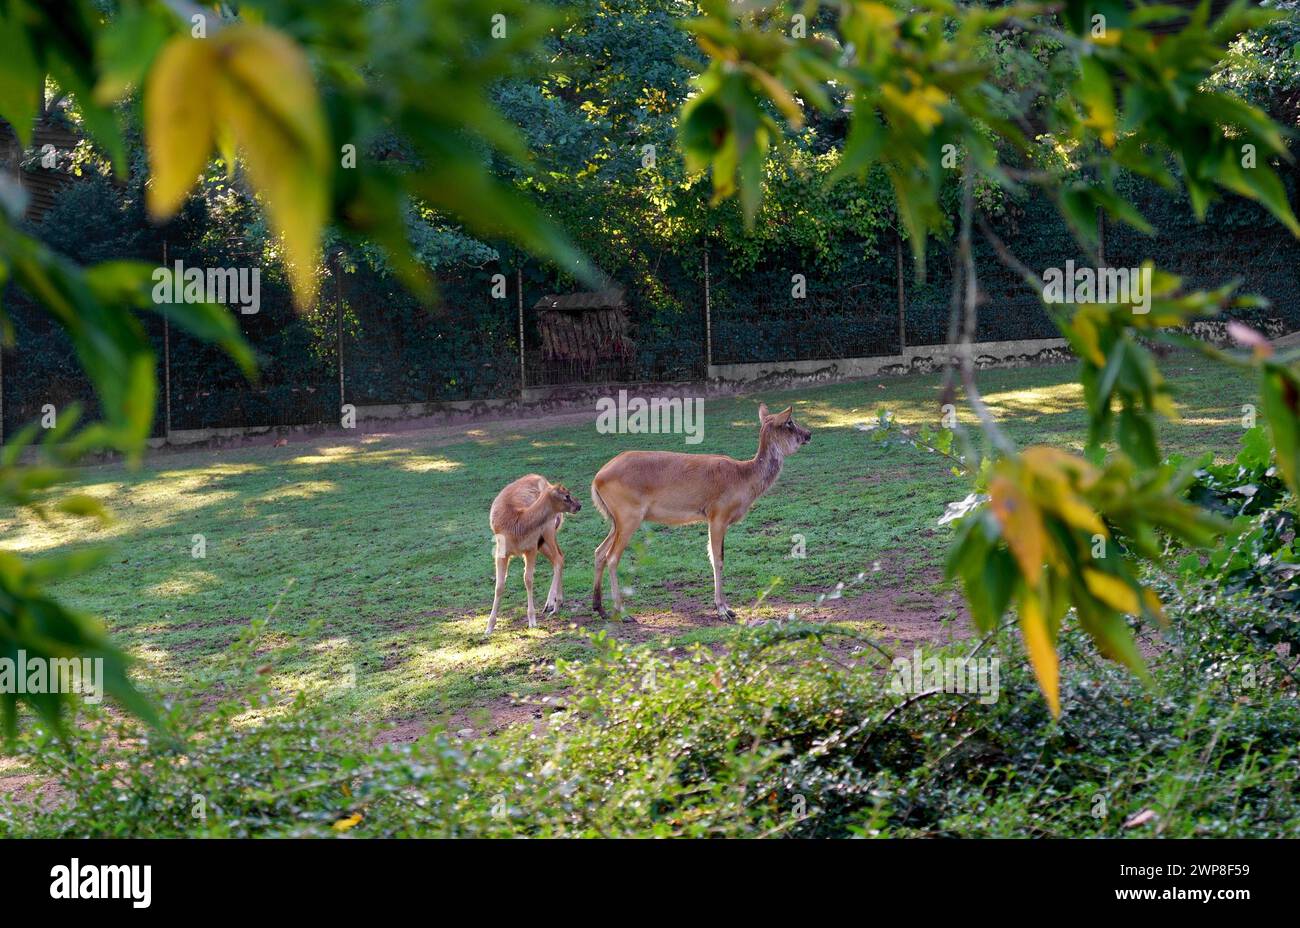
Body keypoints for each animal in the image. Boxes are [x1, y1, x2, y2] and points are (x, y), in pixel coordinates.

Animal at [486, 473, 582, 631]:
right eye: (567, 496)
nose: (579, 505)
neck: (517, 525)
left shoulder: (531, 547)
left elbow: (528, 579)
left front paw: (532, 621)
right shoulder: (501, 551)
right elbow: (499, 585)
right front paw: (489, 627)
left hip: (548, 530)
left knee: (558, 558)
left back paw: (552, 604)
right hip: (542, 541)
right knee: (559, 557)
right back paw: (557, 602)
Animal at [592, 400, 811, 618]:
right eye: (789, 422)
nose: (809, 434)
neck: (743, 479)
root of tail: (596, 479)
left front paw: (725, 607)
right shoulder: (718, 515)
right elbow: (717, 559)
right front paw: (722, 609)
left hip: (616, 519)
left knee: (599, 551)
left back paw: (600, 608)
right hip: (629, 515)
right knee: (612, 557)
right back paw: (622, 611)